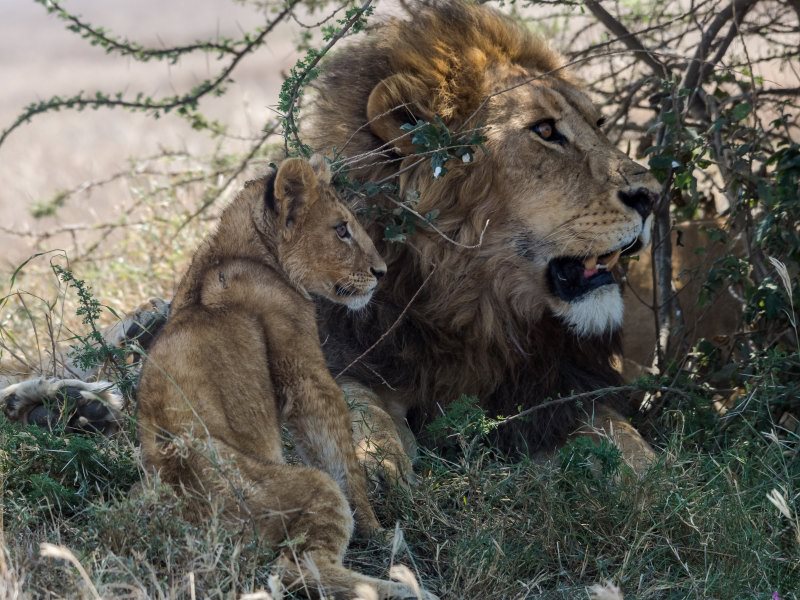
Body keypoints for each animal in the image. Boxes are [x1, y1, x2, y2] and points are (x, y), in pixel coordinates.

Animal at [304, 1, 660, 478]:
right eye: (545, 131)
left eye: (599, 124)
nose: (652, 197)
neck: (475, 310)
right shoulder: (351, 356)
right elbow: (353, 400)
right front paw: (374, 463)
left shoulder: (556, 393)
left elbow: (622, 437)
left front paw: (654, 475)